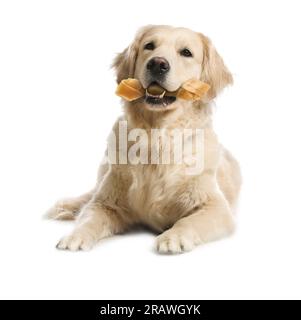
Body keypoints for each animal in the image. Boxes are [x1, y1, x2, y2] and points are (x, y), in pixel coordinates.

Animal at [47, 25, 241, 254]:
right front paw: (75, 235)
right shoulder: (107, 201)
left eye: (186, 52)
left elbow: (188, 221)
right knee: (90, 195)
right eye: (149, 46)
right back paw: (65, 206)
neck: (156, 138)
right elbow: (90, 216)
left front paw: (173, 237)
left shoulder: (216, 207)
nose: (157, 64)